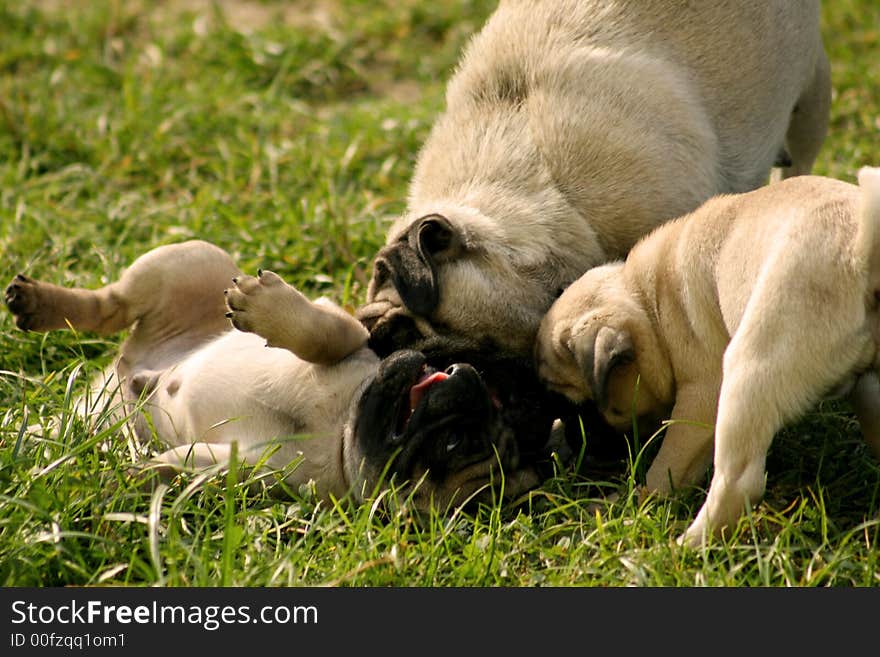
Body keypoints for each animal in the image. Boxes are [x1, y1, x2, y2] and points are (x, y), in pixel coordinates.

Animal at [5, 240, 556, 508]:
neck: (340, 428)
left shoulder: (258, 470)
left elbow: (197, 466)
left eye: (452, 445)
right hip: (188, 262)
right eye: (492, 390)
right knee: (110, 303)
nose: (466, 379)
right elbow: (324, 334)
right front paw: (269, 309)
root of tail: (119, 377)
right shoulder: (353, 334)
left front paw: (143, 473)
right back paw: (38, 302)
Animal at [532, 168, 880, 544]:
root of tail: (859, 250)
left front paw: (637, 503)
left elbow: (668, 463)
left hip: (750, 373)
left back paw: (687, 544)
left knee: (737, 483)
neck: (648, 302)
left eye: (578, 405)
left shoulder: (700, 398)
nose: (573, 440)